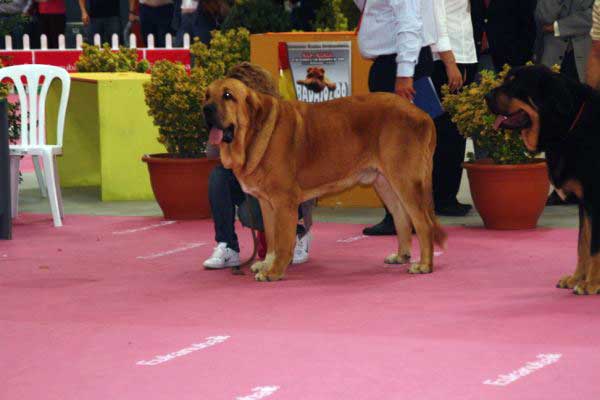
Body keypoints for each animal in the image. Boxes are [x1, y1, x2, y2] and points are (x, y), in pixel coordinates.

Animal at [203, 79, 446, 282]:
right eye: (206, 95)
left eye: (227, 95)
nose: (206, 109)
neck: (254, 132)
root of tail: (423, 115)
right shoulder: (266, 204)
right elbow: (271, 238)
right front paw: (266, 263)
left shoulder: (283, 203)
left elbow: (282, 241)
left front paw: (274, 271)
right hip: (385, 182)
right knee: (401, 217)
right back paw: (401, 256)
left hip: (405, 180)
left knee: (423, 223)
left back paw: (424, 265)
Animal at [488, 65, 600, 296]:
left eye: (515, 83)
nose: (486, 96)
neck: (569, 125)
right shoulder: (585, 204)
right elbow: (582, 244)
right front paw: (577, 278)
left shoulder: (595, 199)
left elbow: (594, 247)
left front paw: (592, 284)